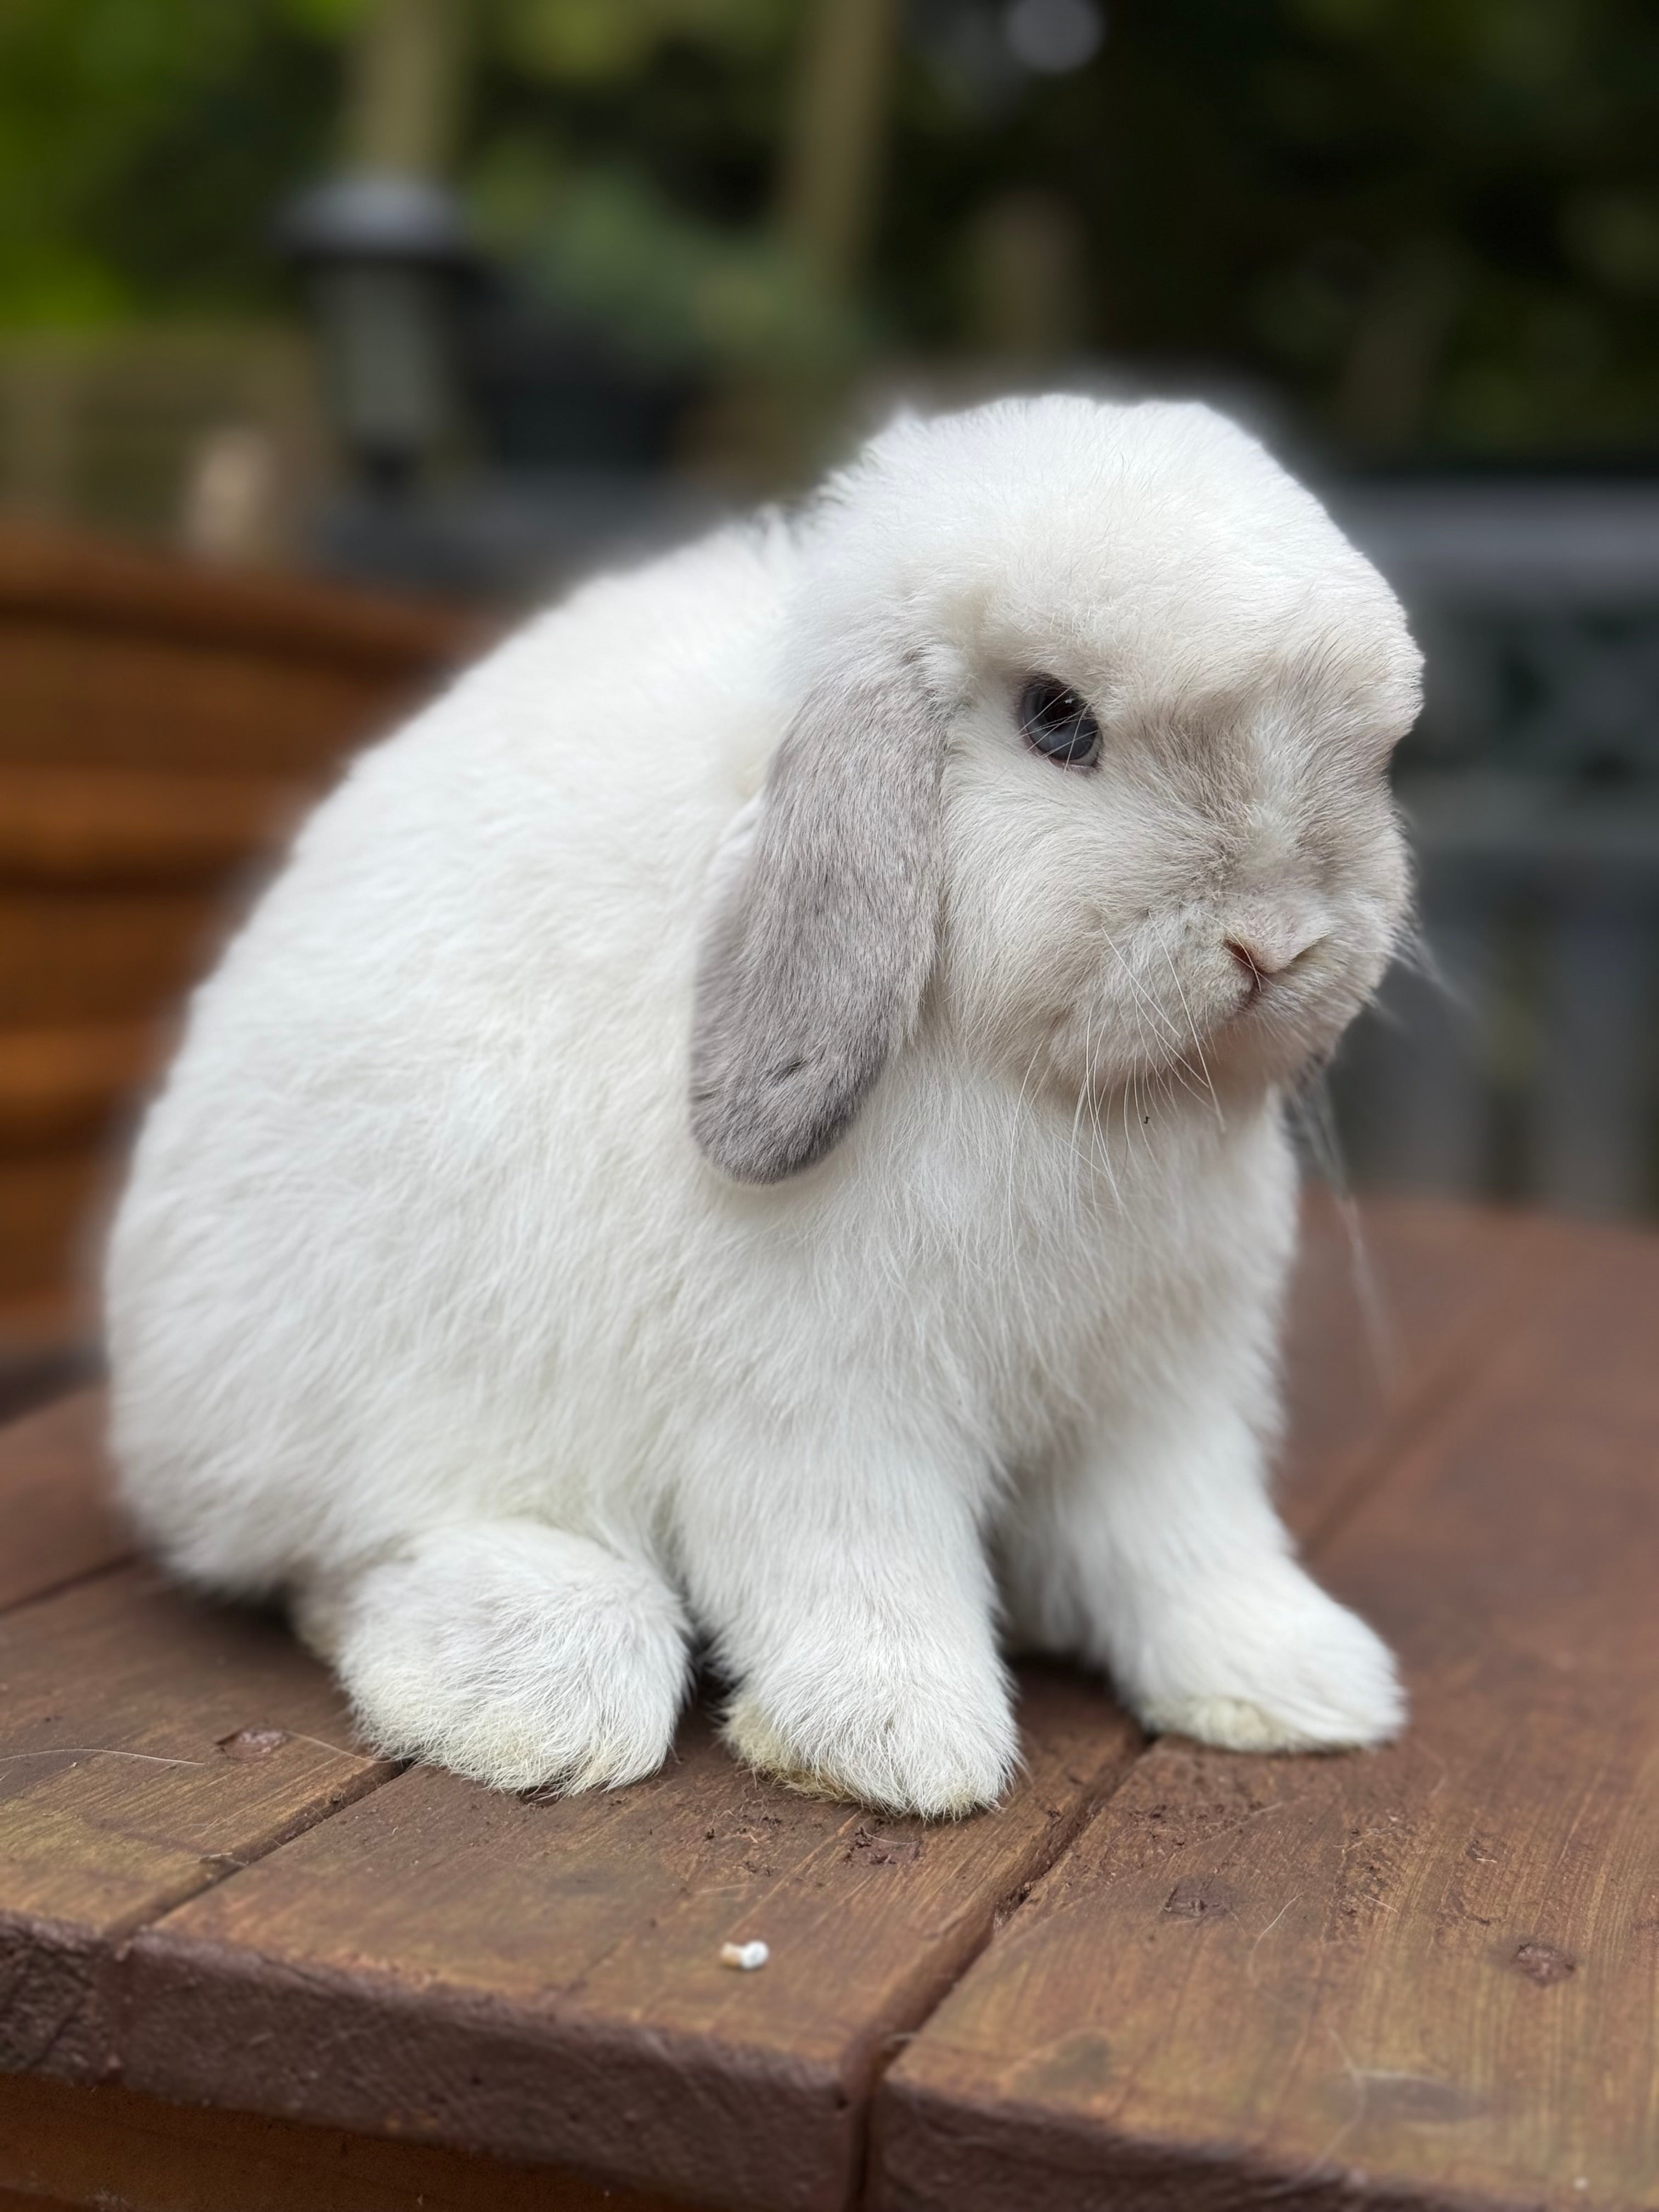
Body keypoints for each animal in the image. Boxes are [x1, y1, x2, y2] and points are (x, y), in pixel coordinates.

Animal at [110, 393, 1424, 1814]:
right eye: (1057, 718)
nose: (1277, 940)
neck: (1067, 1095)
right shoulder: (822, 1407)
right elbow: (859, 1565)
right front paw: (897, 1747)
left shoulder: (1159, 1399)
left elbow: (1185, 1546)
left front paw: (1293, 1688)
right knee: (348, 1562)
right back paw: (531, 1689)